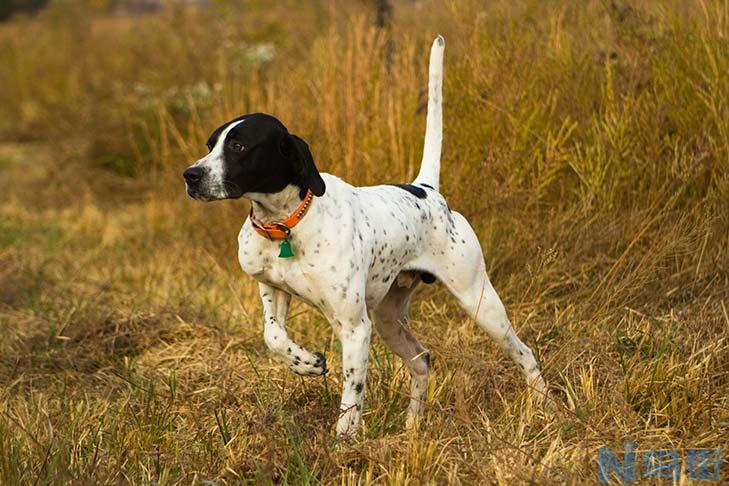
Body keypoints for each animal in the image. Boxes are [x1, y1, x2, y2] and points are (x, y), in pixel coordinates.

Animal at [182, 35, 544, 436]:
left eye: (239, 146)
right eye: (210, 144)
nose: (191, 175)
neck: (288, 223)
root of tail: (427, 189)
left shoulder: (355, 328)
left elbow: (351, 395)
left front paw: (344, 442)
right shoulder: (273, 289)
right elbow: (272, 335)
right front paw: (306, 363)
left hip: (478, 302)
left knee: (525, 354)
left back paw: (542, 409)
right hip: (389, 319)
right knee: (421, 360)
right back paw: (412, 428)